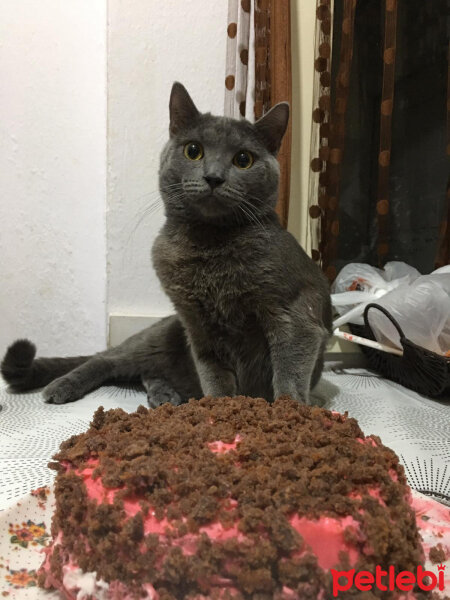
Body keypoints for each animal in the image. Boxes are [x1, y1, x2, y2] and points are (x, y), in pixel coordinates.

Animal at [0, 82, 330, 408]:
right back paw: (64, 386)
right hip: (160, 335)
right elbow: (215, 376)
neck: (208, 247)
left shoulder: (294, 313)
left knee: (145, 372)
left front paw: (290, 410)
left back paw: (164, 395)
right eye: (193, 151)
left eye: (243, 159)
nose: (213, 177)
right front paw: (219, 407)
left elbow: (289, 370)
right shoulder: (198, 326)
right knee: (105, 359)